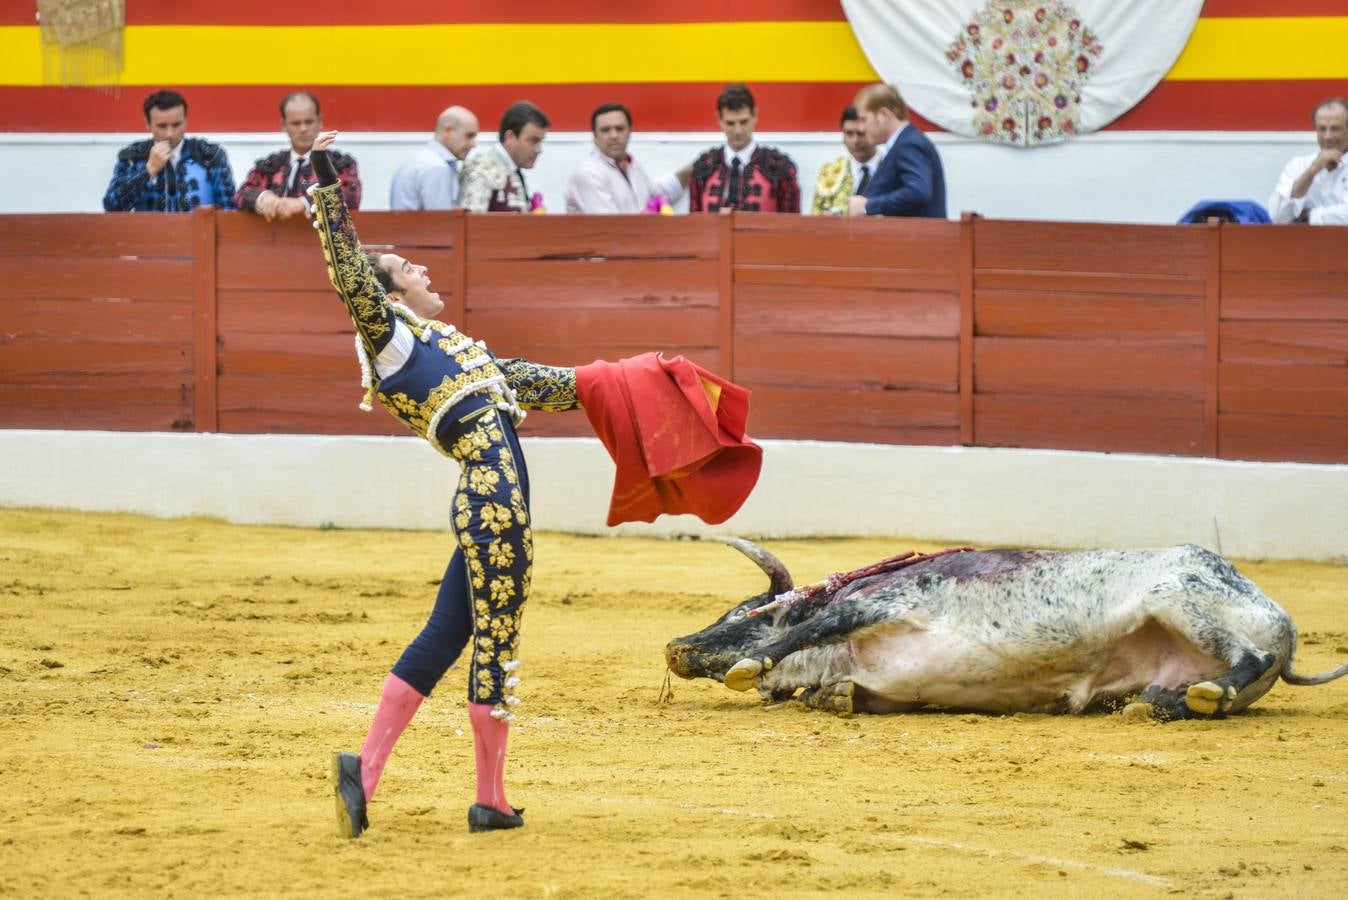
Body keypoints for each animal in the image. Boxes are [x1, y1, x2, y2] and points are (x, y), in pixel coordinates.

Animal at [665, 538, 1348, 722]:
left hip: (1176, 596)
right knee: (1194, 696)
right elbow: (841, 694)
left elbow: (805, 632)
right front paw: (826, 696)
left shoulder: (887, 603)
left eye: (741, 614)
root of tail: (1284, 619)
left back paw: (1209, 690)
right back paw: (1165, 703)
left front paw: (751, 667)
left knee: (1251, 656)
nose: (675, 647)